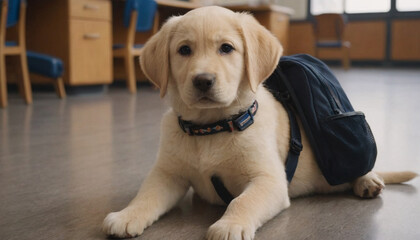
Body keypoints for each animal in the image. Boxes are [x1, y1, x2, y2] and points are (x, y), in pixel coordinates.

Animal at [102, 6, 416, 240]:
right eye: (184, 50)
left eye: (226, 48)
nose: (203, 80)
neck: (211, 128)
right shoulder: (168, 173)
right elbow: (146, 194)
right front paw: (127, 215)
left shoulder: (270, 180)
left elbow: (243, 200)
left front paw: (230, 225)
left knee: (360, 166)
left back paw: (367, 180)